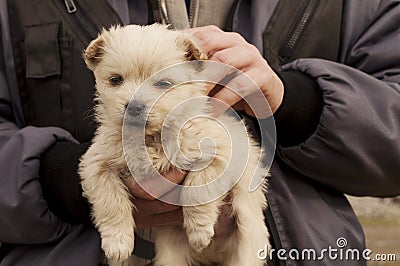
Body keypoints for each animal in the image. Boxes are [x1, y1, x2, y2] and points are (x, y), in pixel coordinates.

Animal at [79, 23, 270, 264]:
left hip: (247, 242)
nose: (135, 106)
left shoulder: (218, 152)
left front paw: (199, 232)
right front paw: (117, 243)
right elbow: (110, 202)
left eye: (163, 83)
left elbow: (196, 190)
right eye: (115, 80)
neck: (151, 138)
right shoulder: (97, 164)